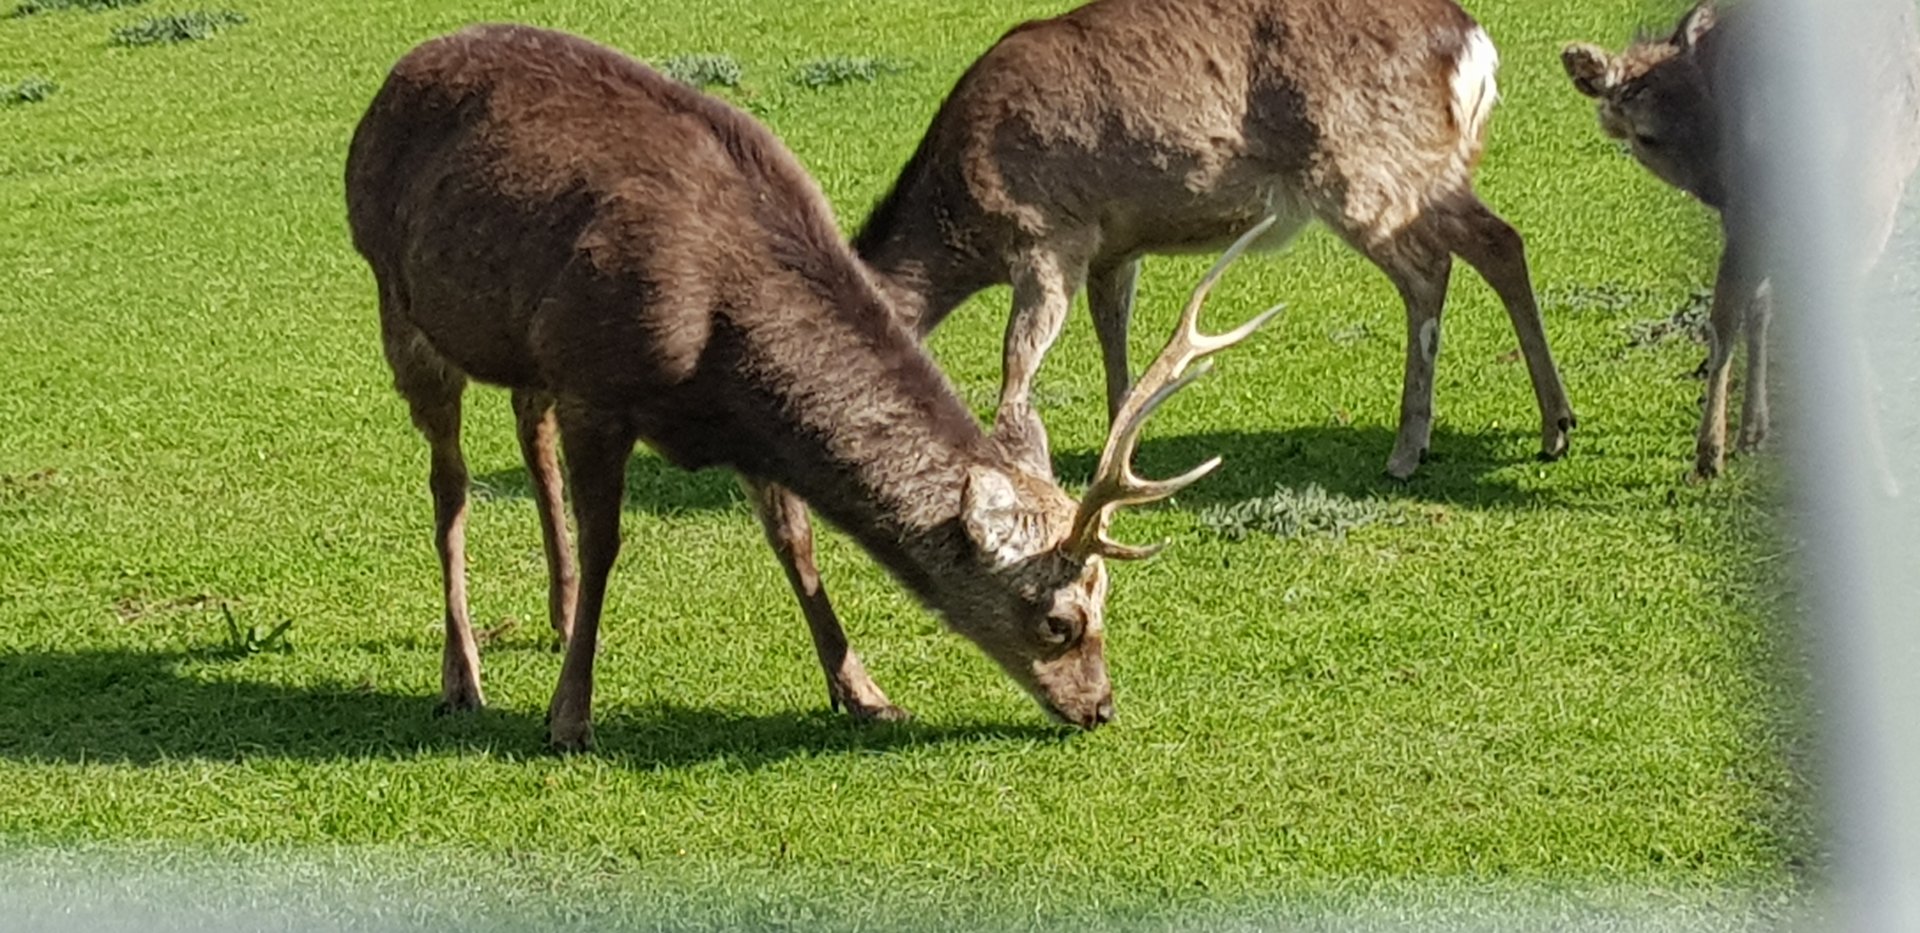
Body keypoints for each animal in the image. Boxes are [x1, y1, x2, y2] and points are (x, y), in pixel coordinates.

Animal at [343, 23, 1280, 750]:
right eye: (1060, 621)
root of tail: (392, 78)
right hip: (398, 299)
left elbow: (796, 542)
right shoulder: (598, 384)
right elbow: (609, 540)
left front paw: (866, 692)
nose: (1101, 708)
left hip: (521, 341)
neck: (721, 342)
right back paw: (463, 674)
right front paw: (570, 716)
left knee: (524, 427)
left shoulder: (738, 421)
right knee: (450, 483)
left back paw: (555, 614)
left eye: (1106, 600)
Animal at [850, 0, 1578, 482]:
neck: (962, 215)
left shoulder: (1049, 235)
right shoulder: (1114, 246)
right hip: (1431, 168)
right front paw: (1120, 445)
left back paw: (1407, 450)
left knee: (1429, 268)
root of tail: (1475, 47)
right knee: (1500, 239)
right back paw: (1554, 427)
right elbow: (1114, 342)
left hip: (1364, 167)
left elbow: (1018, 363)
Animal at [1562, 0, 1920, 482]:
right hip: (1859, 183)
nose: (1714, 187)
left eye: (1706, 108)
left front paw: (1752, 432)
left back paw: (1720, 445)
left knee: (1735, 305)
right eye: (1647, 135)